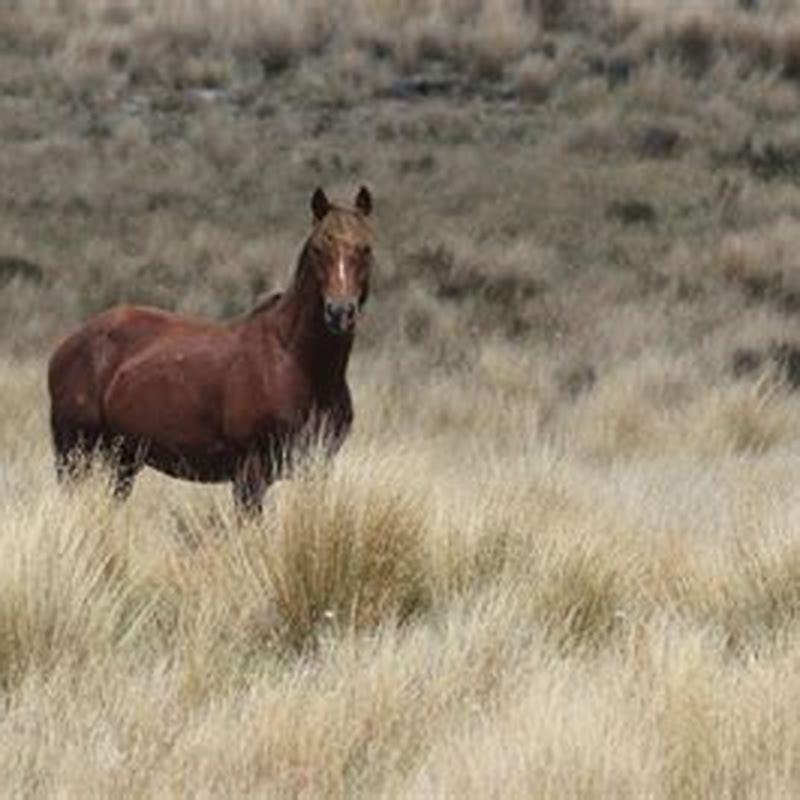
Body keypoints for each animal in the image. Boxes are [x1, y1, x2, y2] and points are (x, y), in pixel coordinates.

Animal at [47, 185, 374, 516]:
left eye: (366, 248)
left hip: (123, 459)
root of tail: (67, 345)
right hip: (73, 454)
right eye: (318, 249)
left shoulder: (317, 469)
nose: (339, 312)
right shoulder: (250, 475)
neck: (294, 361)